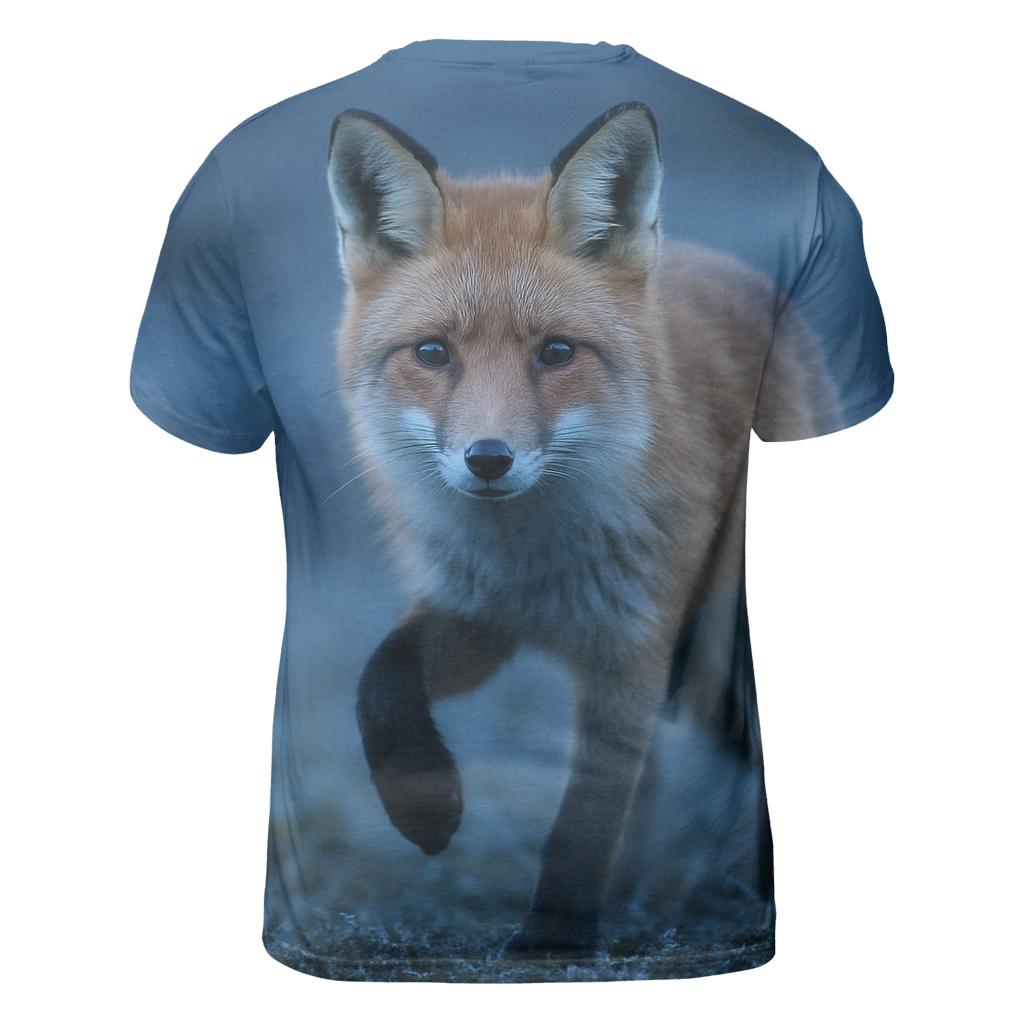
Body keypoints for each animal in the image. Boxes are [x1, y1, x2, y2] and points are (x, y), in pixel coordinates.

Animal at [325, 101, 838, 958]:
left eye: (556, 352)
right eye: (433, 353)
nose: (488, 459)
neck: (536, 560)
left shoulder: (631, 647)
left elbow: (585, 815)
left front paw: (550, 939)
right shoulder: (480, 618)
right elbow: (380, 682)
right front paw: (426, 810)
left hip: (713, 655)